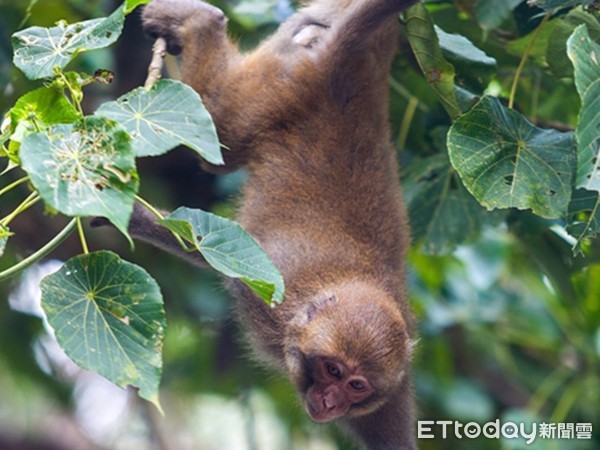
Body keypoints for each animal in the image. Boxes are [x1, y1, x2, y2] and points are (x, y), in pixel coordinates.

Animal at [134, 0, 420, 448]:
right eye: (332, 370)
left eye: (356, 386)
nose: (330, 402)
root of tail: (339, 66)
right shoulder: (271, 280)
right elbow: (206, 244)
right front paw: (124, 213)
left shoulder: (391, 395)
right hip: (280, 86)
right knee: (221, 131)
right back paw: (199, 22)